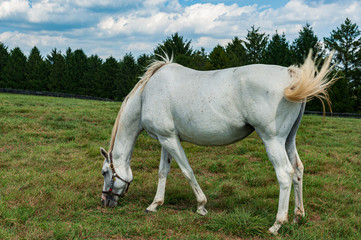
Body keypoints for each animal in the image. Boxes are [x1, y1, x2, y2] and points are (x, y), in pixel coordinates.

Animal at [99, 51, 334, 234]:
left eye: (104, 172)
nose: (104, 202)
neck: (146, 95)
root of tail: (290, 75)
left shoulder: (169, 139)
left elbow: (187, 171)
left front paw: (201, 206)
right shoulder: (167, 139)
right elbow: (163, 172)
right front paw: (155, 204)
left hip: (272, 140)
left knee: (285, 173)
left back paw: (277, 224)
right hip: (288, 140)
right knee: (298, 170)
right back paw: (297, 217)